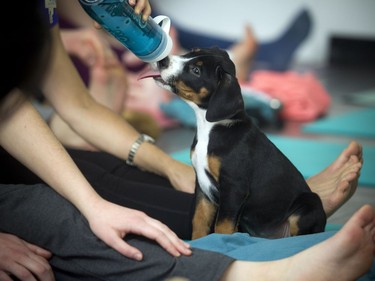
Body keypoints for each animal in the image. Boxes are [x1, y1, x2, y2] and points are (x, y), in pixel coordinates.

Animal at [142, 46, 328, 238]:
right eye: (192, 51)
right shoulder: (202, 187)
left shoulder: (233, 187)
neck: (209, 126)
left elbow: (222, 227)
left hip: (309, 202)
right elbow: (199, 221)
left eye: (196, 70)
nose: (162, 60)